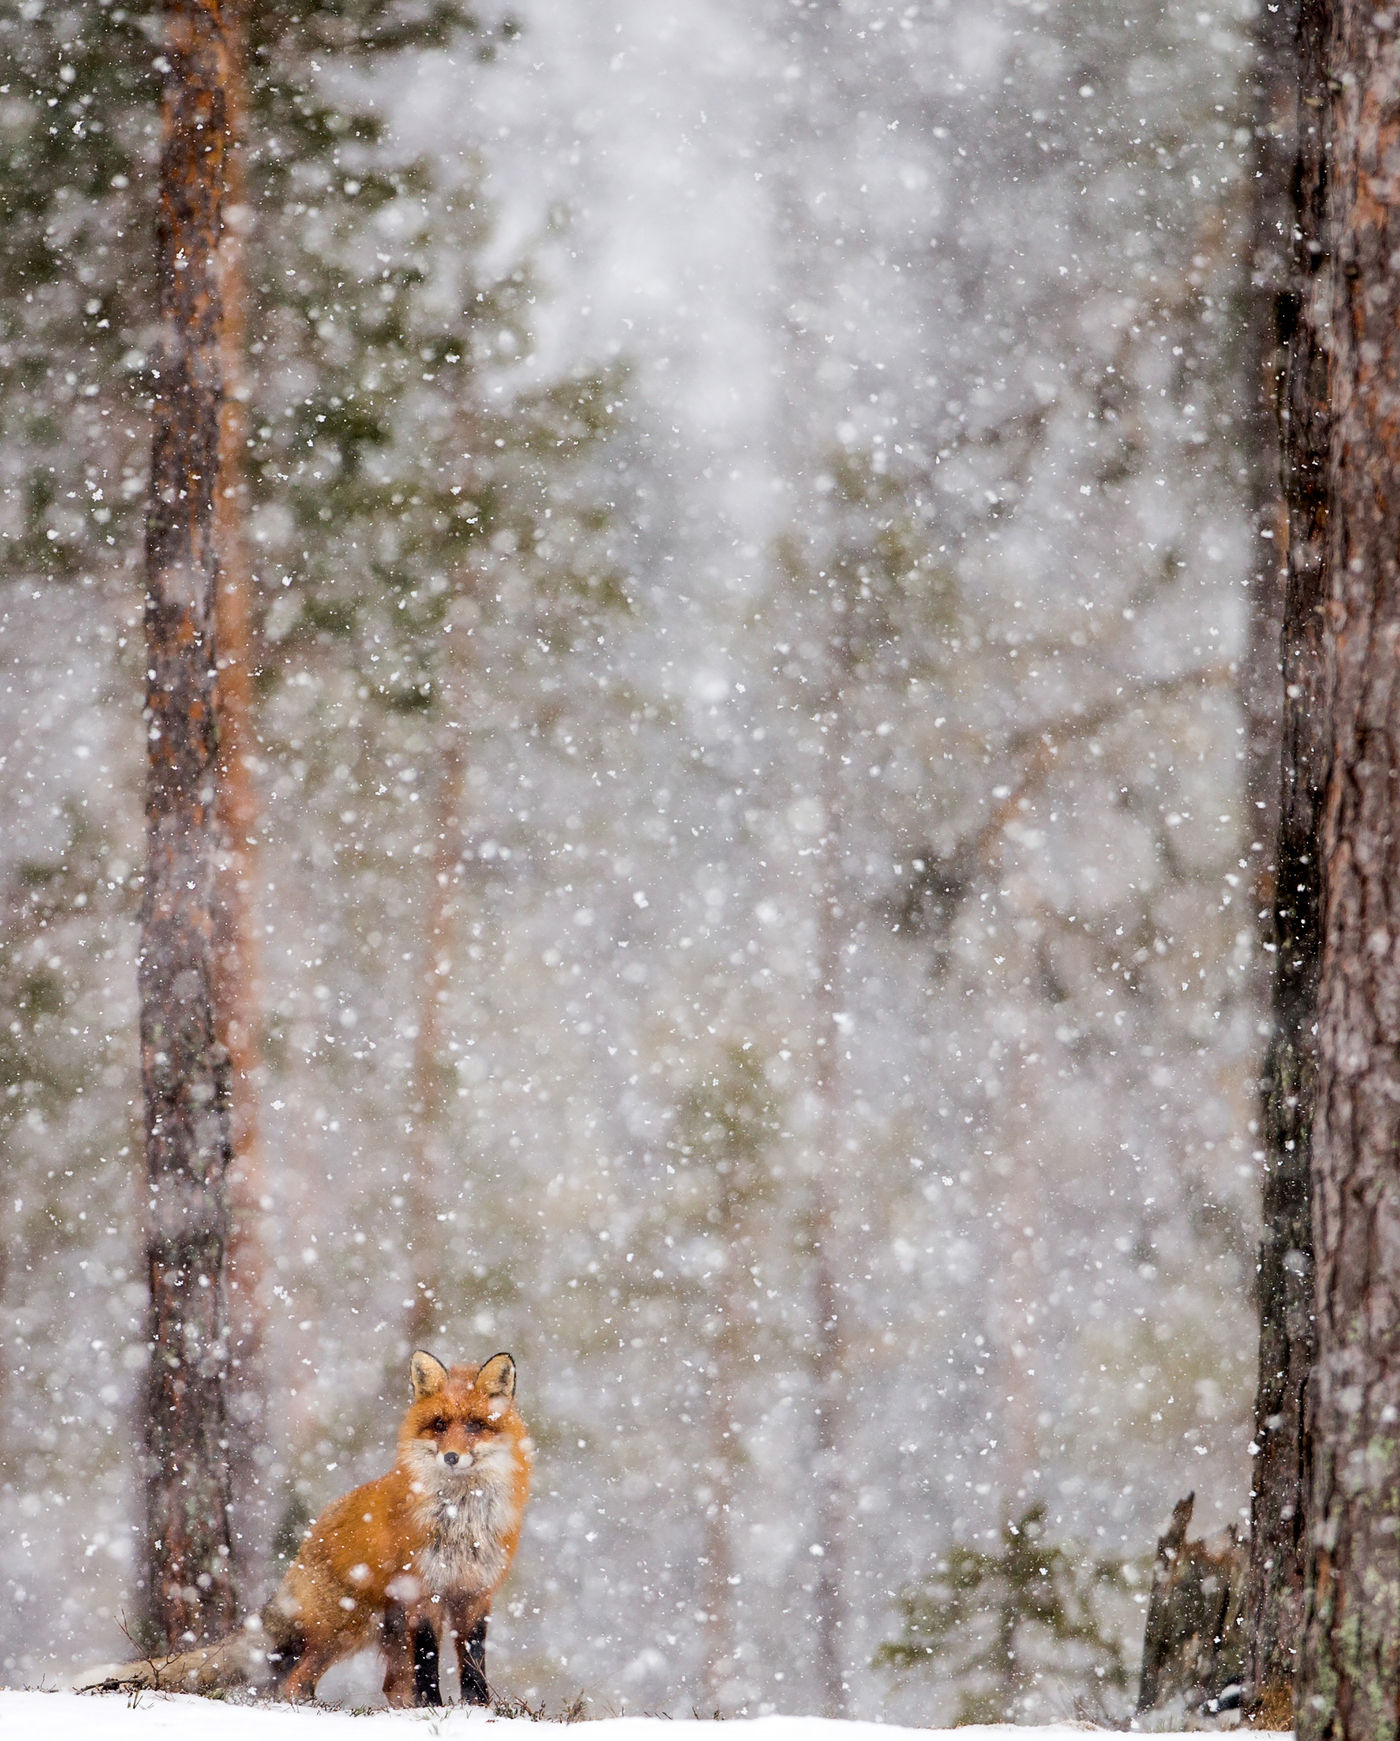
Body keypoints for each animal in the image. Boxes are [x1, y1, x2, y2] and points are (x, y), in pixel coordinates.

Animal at [83, 1350, 532, 1706]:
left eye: (474, 1425)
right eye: (439, 1425)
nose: (452, 1457)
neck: (460, 1520)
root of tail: (306, 1543)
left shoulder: (475, 1594)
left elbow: (474, 1665)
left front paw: (478, 1710)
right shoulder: (423, 1593)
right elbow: (429, 1665)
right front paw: (435, 1709)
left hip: (380, 1631)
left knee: (385, 1686)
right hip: (346, 1627)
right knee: (295, 1682)